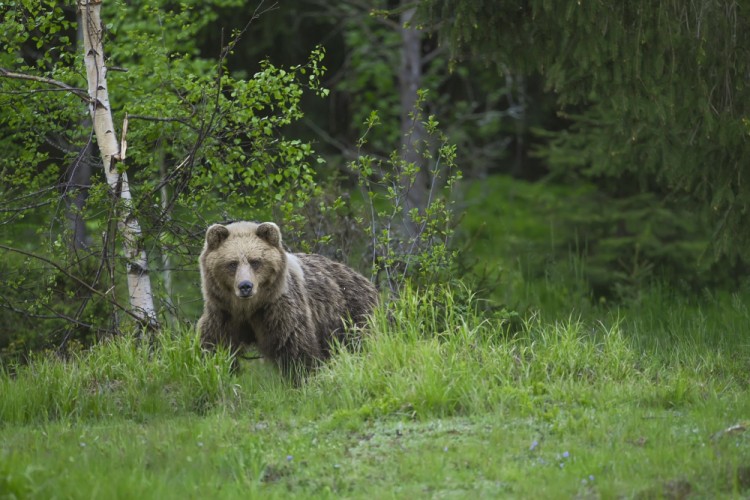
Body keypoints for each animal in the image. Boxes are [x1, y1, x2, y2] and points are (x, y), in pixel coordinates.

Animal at [198, 221, 378, 376]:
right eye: (232, 263)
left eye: (255, 261)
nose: (245, 286)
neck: (248, 308)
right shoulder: (223, 313)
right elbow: (215, 346)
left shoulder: (278, 310)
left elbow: (295, 348)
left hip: (351, 314)